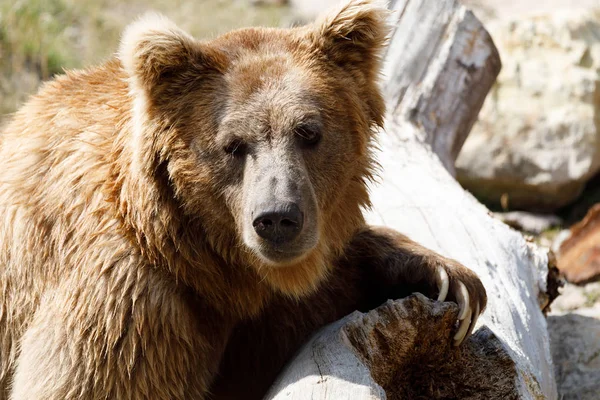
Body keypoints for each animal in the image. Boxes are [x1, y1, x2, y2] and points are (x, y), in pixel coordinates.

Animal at [0, 1, 488, 398]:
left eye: (308, 132)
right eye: (233, 145)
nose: (277, 218)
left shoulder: (261, 313)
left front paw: (449, 279)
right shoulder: (130, 303)